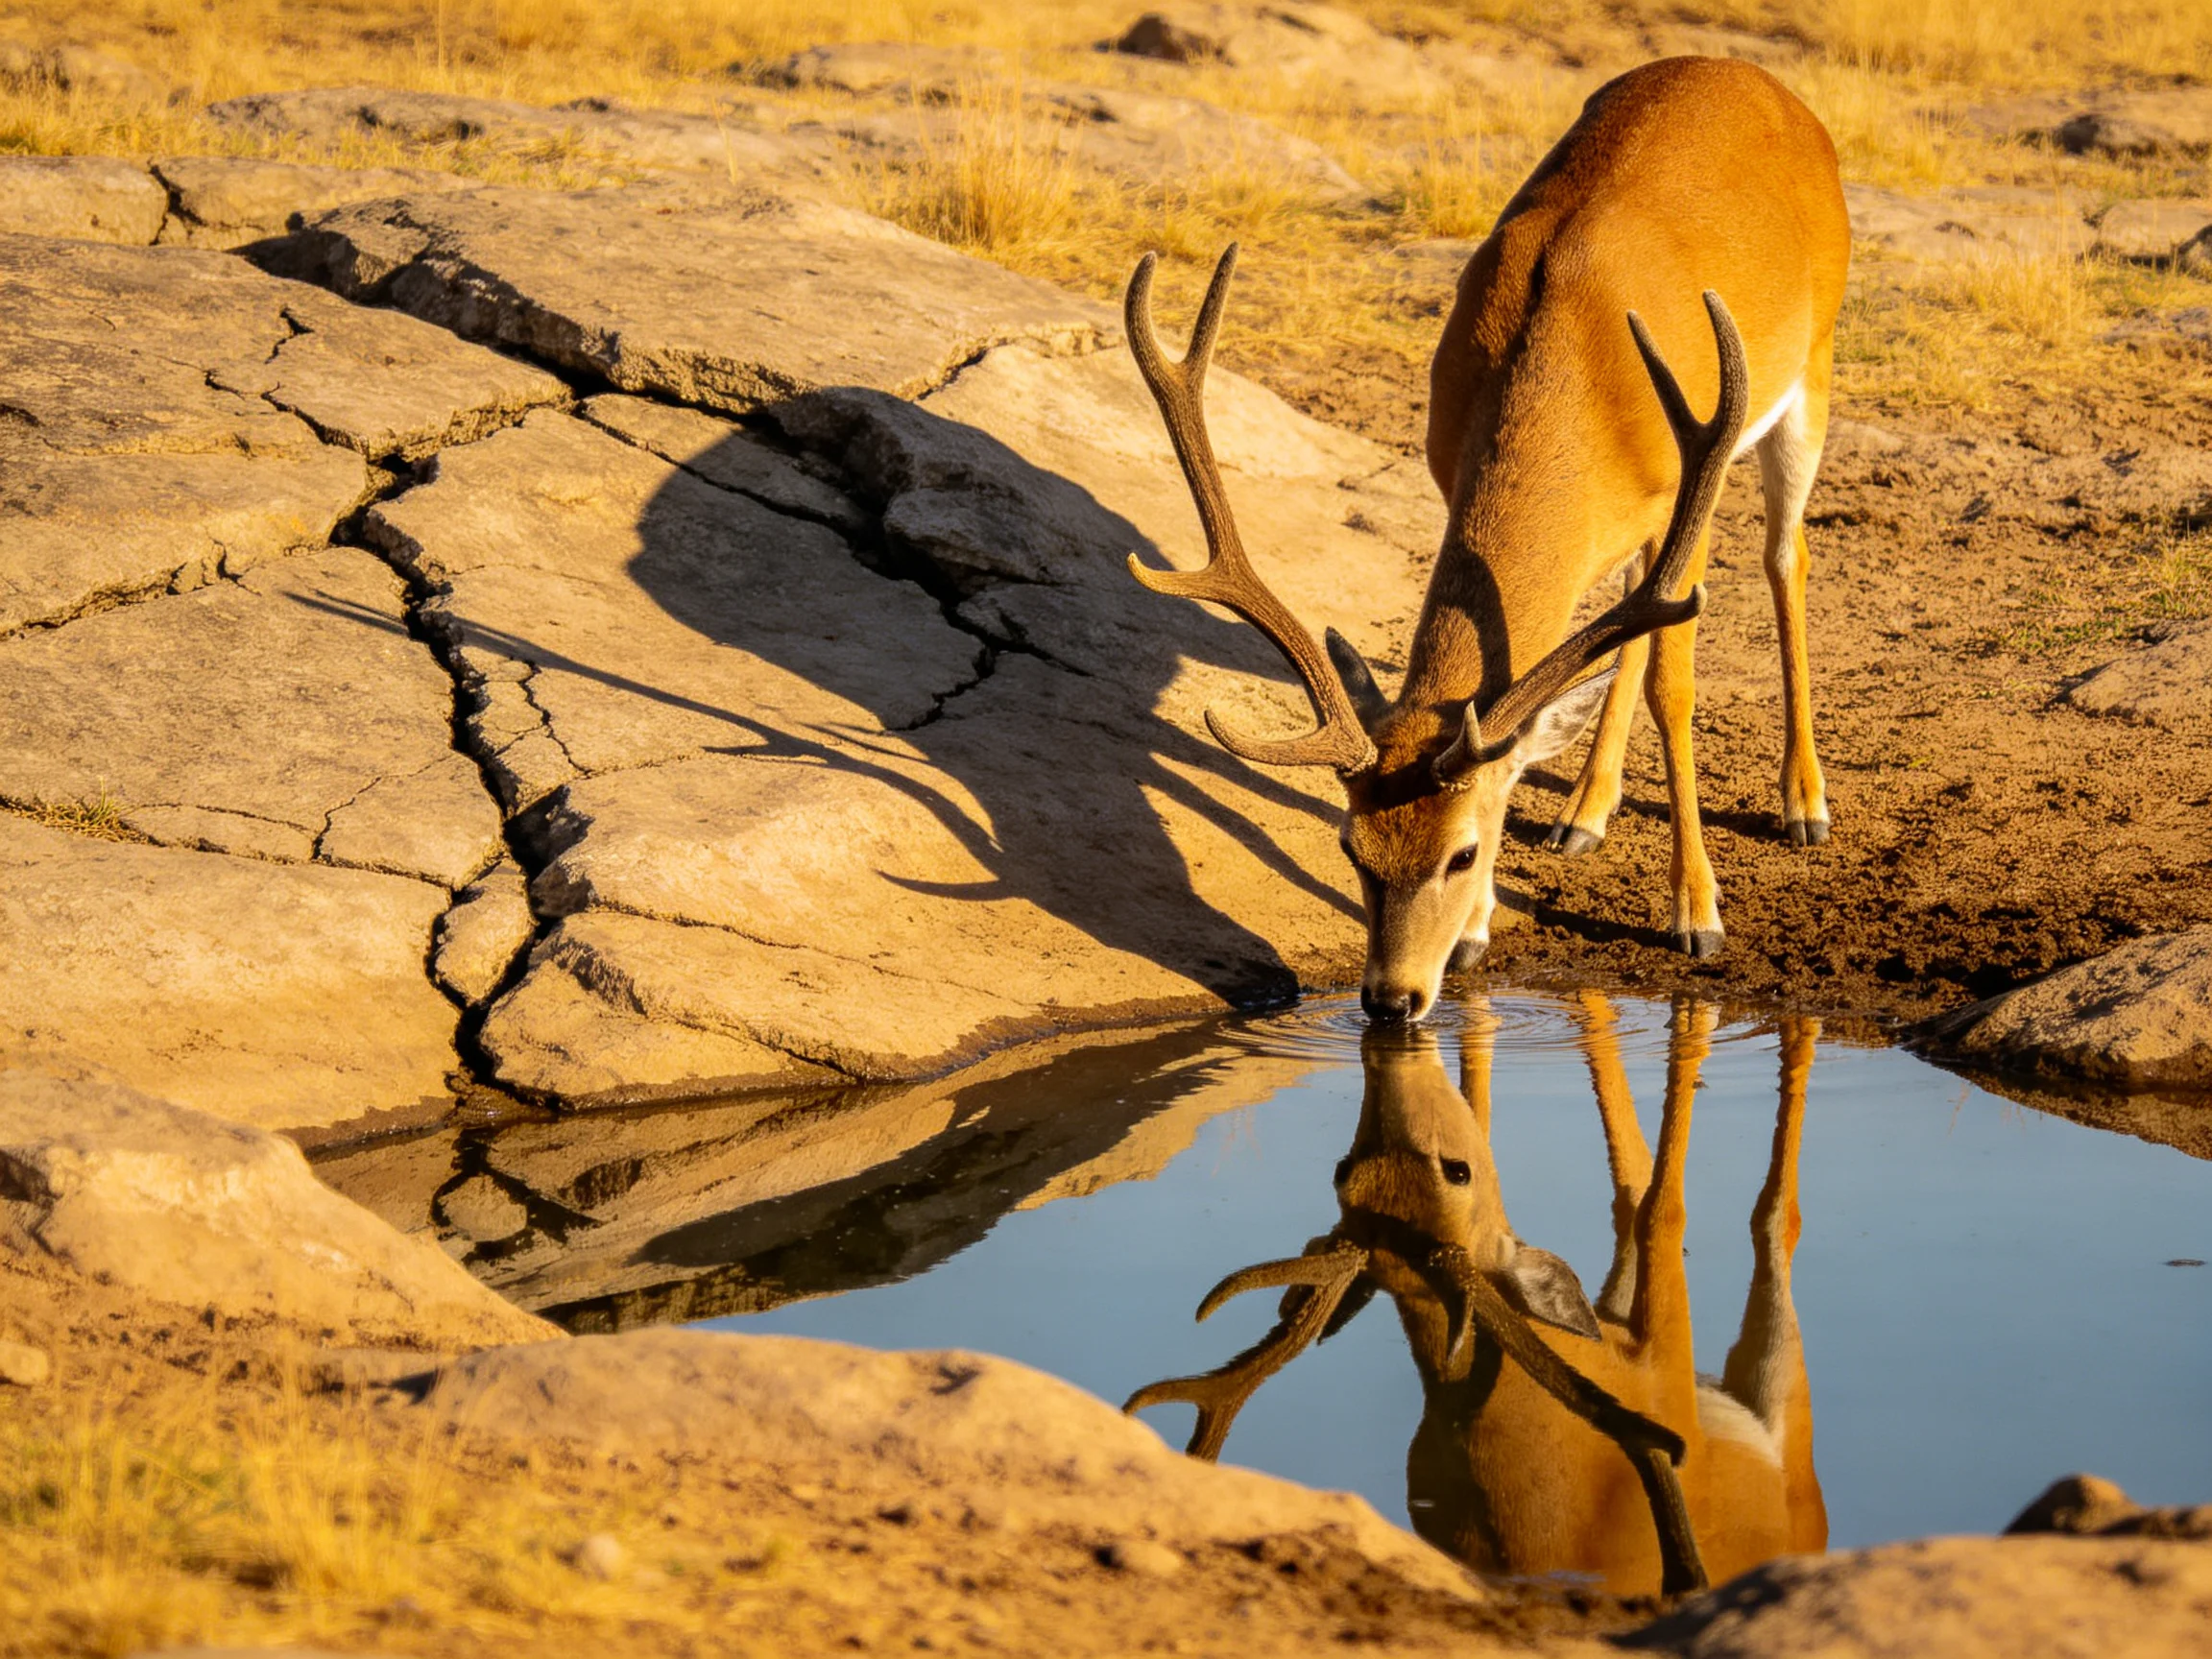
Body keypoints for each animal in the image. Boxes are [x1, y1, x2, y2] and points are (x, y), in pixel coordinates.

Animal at [1125, 57, 1852, 1020]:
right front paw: (1476, 934)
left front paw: (1697, 915)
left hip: (1814, 366)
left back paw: (1804, 804)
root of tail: (1753, 75)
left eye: (1459, 853)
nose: (1391, 999)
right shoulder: (1455, 469)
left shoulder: (1687, 487)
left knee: (1785, 555)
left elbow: (1675, 684)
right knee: (1630, 615)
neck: (1580, 373)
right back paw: (1584, 813)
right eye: (1353, 848)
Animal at [1126, 992, 1827, 1597]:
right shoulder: (1663, 1372)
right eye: (1342, 1172)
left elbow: (1656, 1208)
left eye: (1456, 1170)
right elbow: (1661, 1213)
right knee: (1765, 1221)